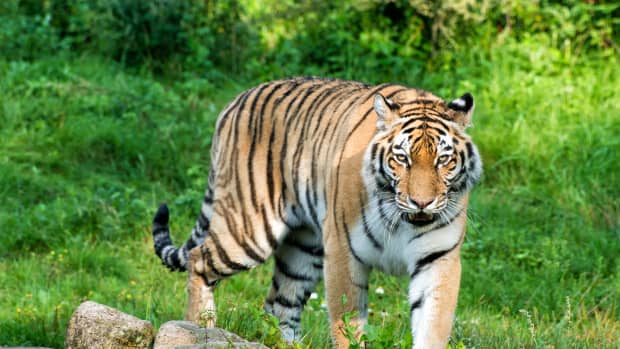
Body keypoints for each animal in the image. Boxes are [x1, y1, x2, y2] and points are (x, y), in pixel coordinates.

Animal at [153, 77, 482, 348]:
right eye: (402, 158)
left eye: (443, 160)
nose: (421, 203)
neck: (402, 221)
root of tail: (235, 101)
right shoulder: (343, 252)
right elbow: (347, 325)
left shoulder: (437, 259)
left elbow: (432, 326)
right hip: (250, 228)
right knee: (198, 261)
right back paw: (202, 329)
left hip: (303, 246)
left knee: (280, 303)